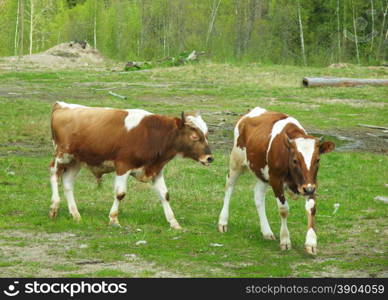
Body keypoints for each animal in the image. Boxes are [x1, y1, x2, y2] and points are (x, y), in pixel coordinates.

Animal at [49, 102, 214, 229]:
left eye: (206, 135)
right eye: (194, 136)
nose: (209, 158)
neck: (152, 134)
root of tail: (61, 105)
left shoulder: (156, 169)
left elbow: (165, 195)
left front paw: (174, 223)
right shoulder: (123, 166)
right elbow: (120, 194)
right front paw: (114, 219)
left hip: (76, 161)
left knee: (68, 183)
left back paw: (75, 214)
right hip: (62, 155)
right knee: (54, 173)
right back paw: (54, 207)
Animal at [217, 106, 334, 254]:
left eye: (317, 160)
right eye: (295, 160)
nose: (307, 189)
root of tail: (250, 112)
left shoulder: (311, 182)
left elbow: (312, 208)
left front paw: (311, 243)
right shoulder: (276, 181)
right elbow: (284, 209)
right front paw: (285, 240)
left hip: (262, 174)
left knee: (258, 197)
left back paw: (267, 231)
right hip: (236, 162)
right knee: (229, 188)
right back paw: (223, 222)